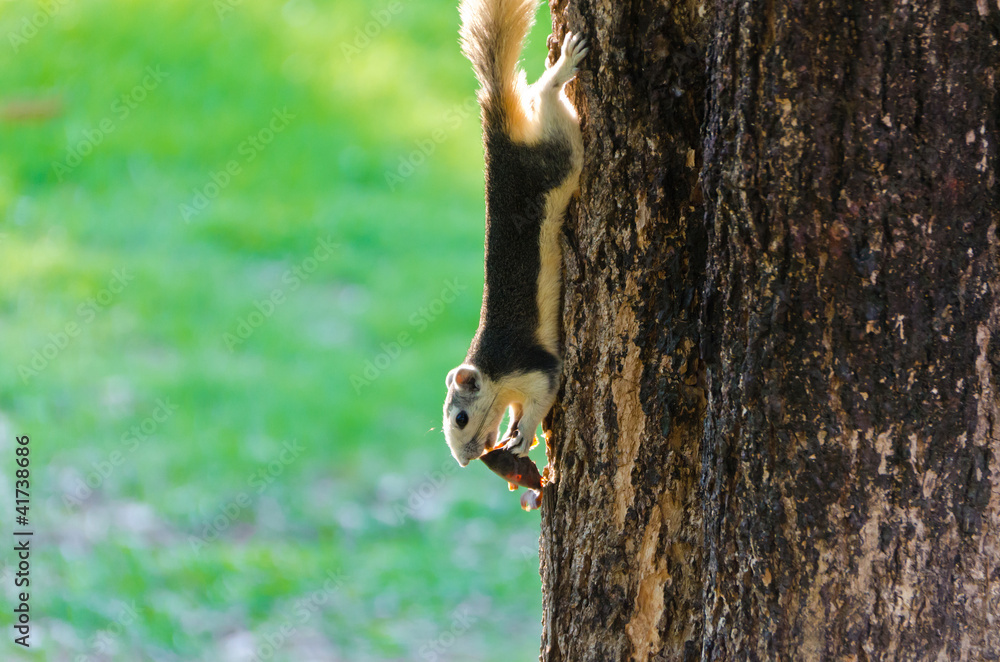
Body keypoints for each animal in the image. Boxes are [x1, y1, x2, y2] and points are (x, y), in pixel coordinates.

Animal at [443, 0, 586, 467]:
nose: (465, 460)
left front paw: (522, 434)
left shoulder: (530, 368)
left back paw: (562, 68)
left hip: (558, 155)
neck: (494, 371)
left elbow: (544, 395)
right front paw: (514, 428)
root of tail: (499, 140)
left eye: (461, 418)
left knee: (544, 97)